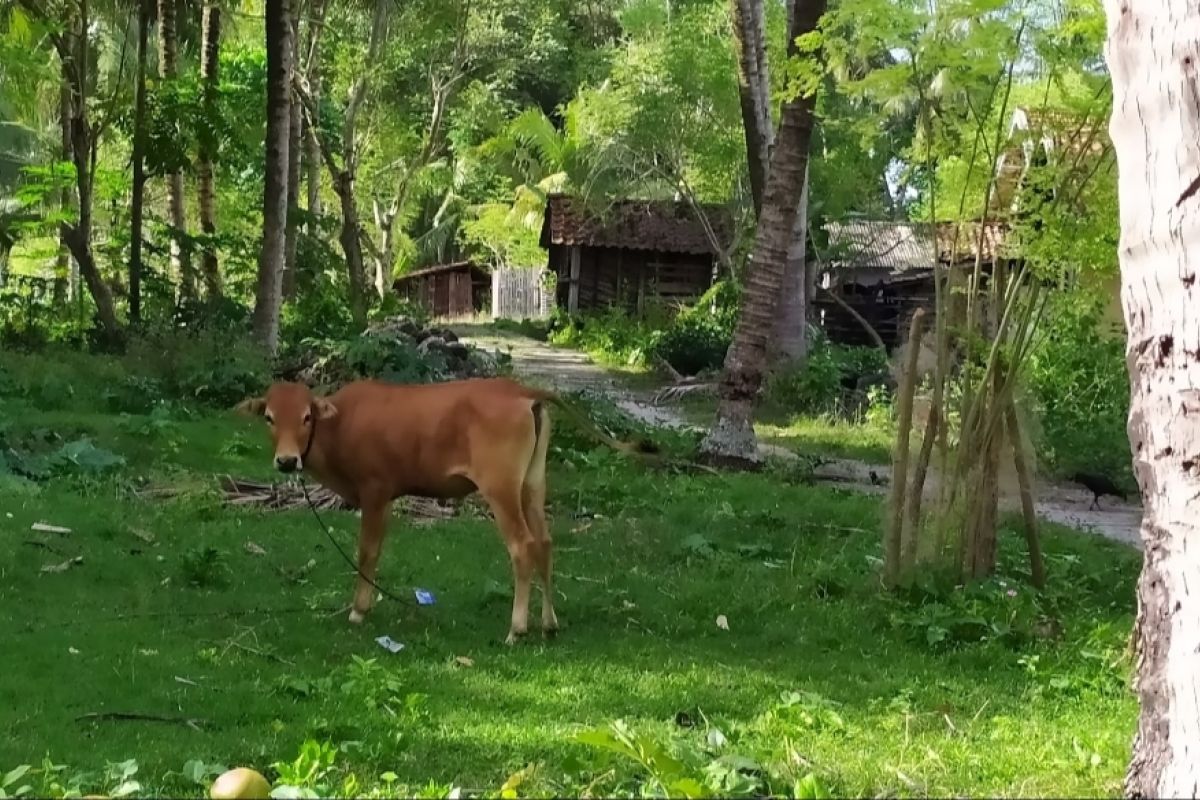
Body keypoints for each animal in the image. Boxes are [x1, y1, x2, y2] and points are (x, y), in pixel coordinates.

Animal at [231, 376, 648, 642]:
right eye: (269, 417)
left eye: (306, 416)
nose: (287, 461)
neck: (340, 425)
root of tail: (519, 389)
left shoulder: (376, 490)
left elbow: (368, 551)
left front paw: (359, 609)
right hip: (532, 483)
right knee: (544, 543)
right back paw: (549, 623)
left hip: (500, 487)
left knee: (522, 546)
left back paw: (517, 628)